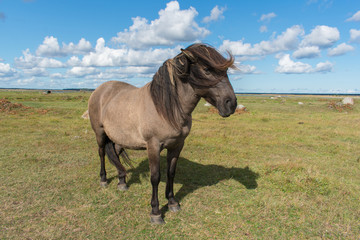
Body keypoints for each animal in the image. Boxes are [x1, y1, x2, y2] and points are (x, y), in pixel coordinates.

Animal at [88, 42, 238, 223]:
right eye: (207, 69)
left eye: (226, 71)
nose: (231, 103)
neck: (166, 109)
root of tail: (100, 89)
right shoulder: (153, 147)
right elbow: (155, 177)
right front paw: (156, 212)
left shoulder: (177, 145)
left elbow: (171, 173)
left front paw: (172, 202)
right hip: (100, 134)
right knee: (102, 153)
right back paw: (103, 180)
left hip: (118, 138)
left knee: (115, 154)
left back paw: (122, 182)